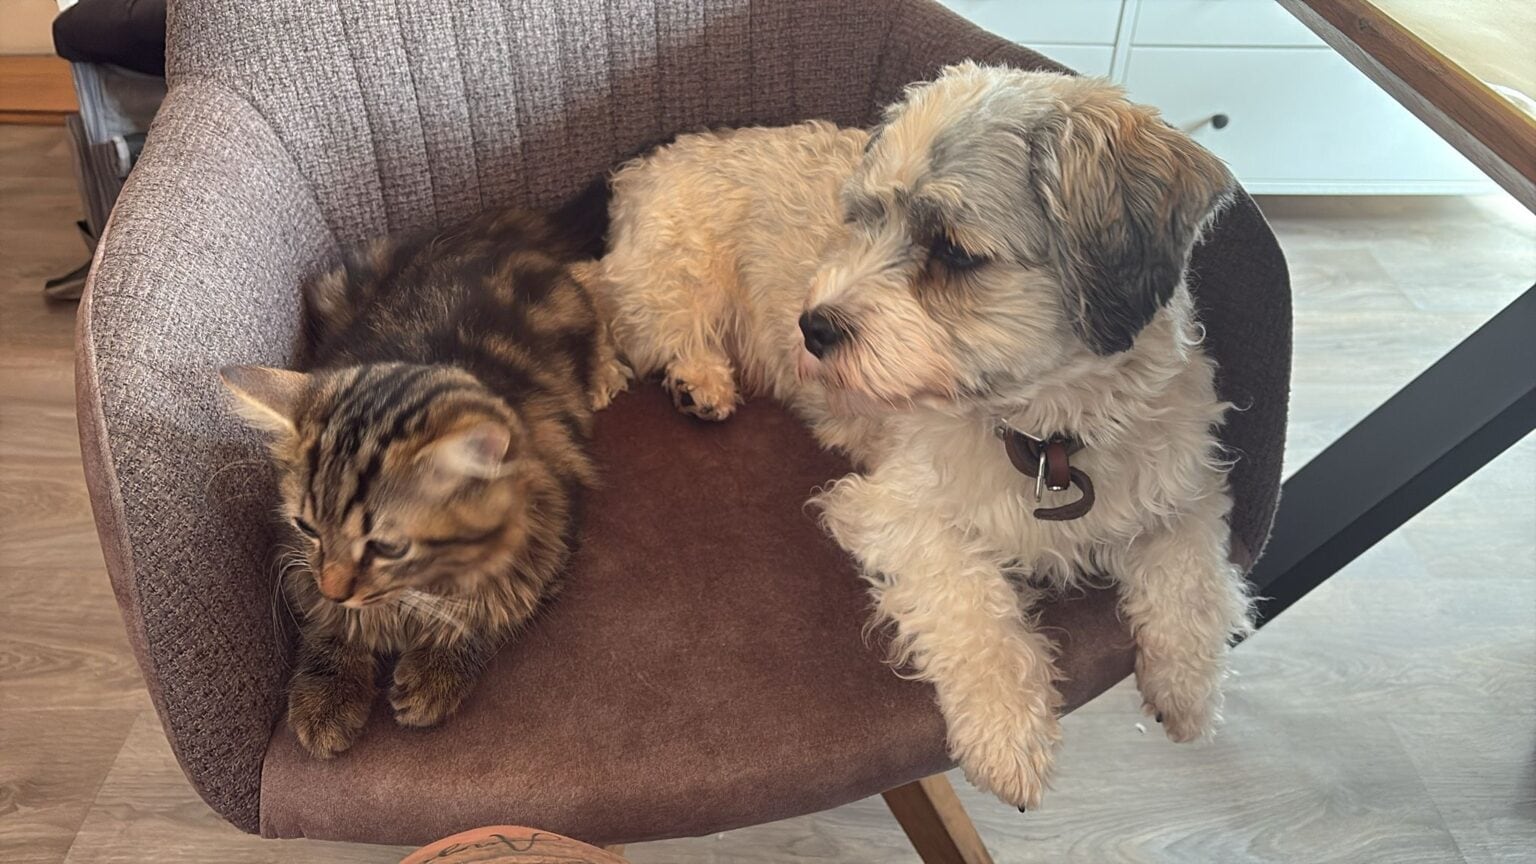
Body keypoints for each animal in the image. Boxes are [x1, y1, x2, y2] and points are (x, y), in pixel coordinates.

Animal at [220, 182, 629, 759]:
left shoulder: (548, 549)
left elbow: (482, 615)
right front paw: (327, 695)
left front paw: (436, 672)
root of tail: (486, 231)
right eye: (306, 527)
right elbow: (327, 625)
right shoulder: (302, 568)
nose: (335, 586)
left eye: (388, 546)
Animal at [593, 63, 1253, 809]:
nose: (810, 326)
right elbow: (975, 609)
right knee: (614, 307)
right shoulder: (896, 513)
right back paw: (669, 374)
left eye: (954, 253)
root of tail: (643, 166)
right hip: (669, 289)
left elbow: (1193, 584)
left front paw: (1189, 688)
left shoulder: (1184, 492)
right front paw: (1008, 732)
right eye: (861, 219)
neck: (1046, 430)